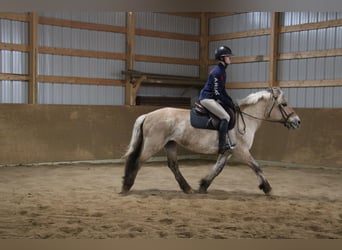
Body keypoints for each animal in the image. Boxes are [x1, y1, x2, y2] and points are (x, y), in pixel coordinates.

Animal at [120, 88, 300, 195]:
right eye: (284, 104)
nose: (297, 121)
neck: (246, 120)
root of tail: (148, 115)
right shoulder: (241, 151)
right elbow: (256, 166)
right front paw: (267, 188)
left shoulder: (228, 151)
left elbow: (217, 169)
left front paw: (203, 185)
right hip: (153, 145)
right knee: (138, 161)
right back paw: (126, 186)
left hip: (169, 144)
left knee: (173, 165)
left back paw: (187, 188)